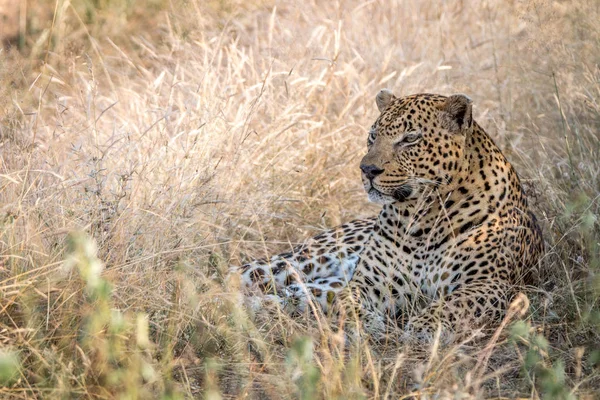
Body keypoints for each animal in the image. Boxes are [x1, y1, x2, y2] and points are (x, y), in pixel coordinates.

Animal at [231, 90, 544, 344]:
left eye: (410, 138)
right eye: (373, 136)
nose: (367, 169)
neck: (422, 218)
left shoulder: (492, 284)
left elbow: (456, 303)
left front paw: (424, 326)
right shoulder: (372, 283)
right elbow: (349, 300)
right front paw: (364, 324)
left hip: (311, 285)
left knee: (289, 294)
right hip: (300, 260)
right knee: (237, 274)